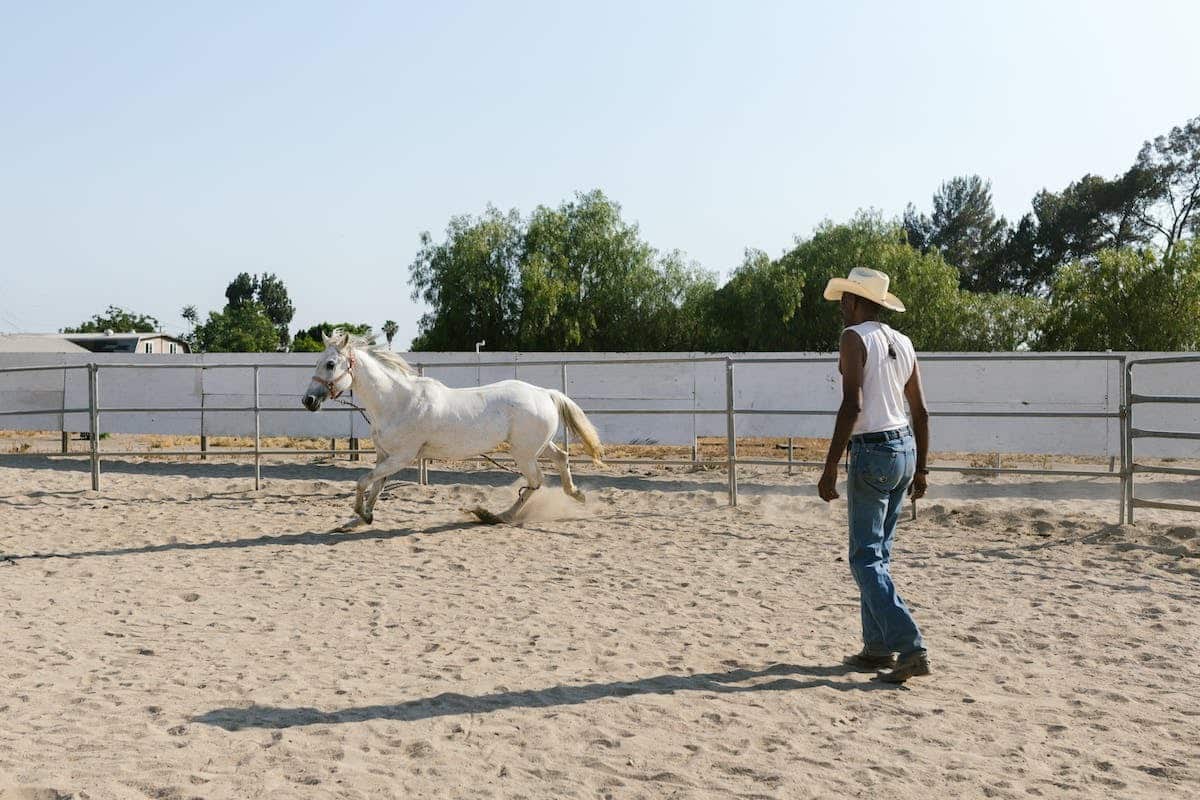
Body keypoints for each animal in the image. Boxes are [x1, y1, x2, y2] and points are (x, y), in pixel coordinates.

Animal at [300, 328, 600, 527]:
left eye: (330, 364)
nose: (308, 400)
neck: (397, 401)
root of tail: (545, 393)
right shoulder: (385, 455)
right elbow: (376, 485)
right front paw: (364, 517)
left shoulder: (402, 457)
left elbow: (363, 481)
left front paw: (361, 514)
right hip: (537, 446)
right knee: (560, 458)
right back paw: (577, 494)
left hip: (524, 453)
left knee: (536, 481)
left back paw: (495, 515)